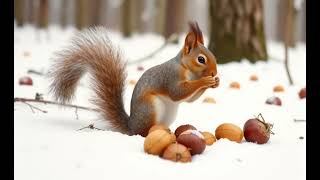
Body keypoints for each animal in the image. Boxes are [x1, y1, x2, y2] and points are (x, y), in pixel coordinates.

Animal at [48, 21, 219, 136]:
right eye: (201, 59)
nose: (214, 72)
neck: (187, 69)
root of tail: (132, 127)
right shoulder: (170, 76)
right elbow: (177, 93)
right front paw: (205, 81)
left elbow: (189, 100)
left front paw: (214, 83)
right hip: (150, 108)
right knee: (144, 132)